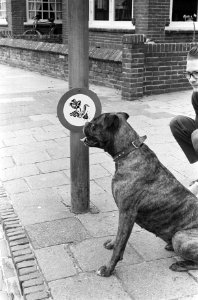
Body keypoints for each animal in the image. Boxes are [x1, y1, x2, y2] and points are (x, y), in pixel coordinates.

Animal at [81, 112, 198, 276]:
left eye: (93, 124)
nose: (85, 123)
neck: (128, 152)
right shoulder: (123, 214)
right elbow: (118, 236)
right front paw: (112, 243)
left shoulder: (127, 213)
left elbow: (120, 245)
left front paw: (109, 268)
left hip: (180, 236)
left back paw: (180, 264)